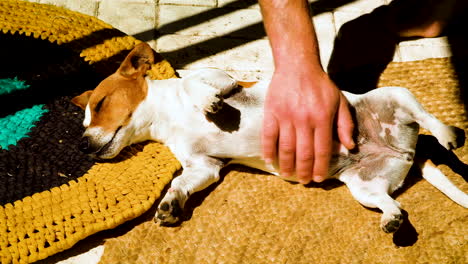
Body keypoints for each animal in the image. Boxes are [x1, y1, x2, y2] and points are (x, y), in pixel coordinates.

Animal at [71, 43, 466, 233]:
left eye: (101, 103)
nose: (83, 145)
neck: (168, 117)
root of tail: (405, 152)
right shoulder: (204, 166)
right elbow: (182, 183)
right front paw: (170, 203)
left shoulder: (221, 76)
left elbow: (200, 86)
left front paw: (208, 103)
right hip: (364, 187)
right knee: (393, 204)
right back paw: (392, 219)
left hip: (394, 95)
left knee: (427, 116)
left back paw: (450, 133)